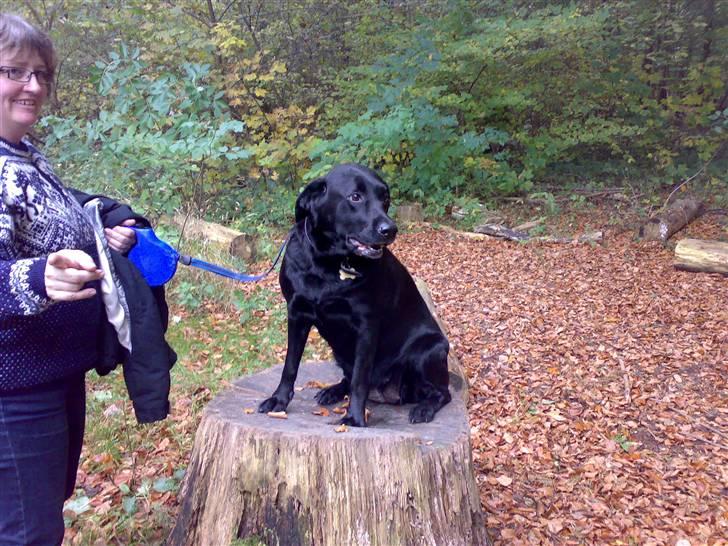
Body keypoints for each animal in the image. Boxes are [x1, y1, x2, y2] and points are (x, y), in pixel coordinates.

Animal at [256, 163, 450, 424]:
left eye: (385, 198)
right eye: (355, 197)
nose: (390, 229)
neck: (329, 263)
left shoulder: (367, 325)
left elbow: (360, 378)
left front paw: (355, 419)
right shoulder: (297, 314)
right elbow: (290, 365)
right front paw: (279, 400)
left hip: (429, 349)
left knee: (442, 393)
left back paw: (424, 409)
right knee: (348, 378)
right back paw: (333, 391)